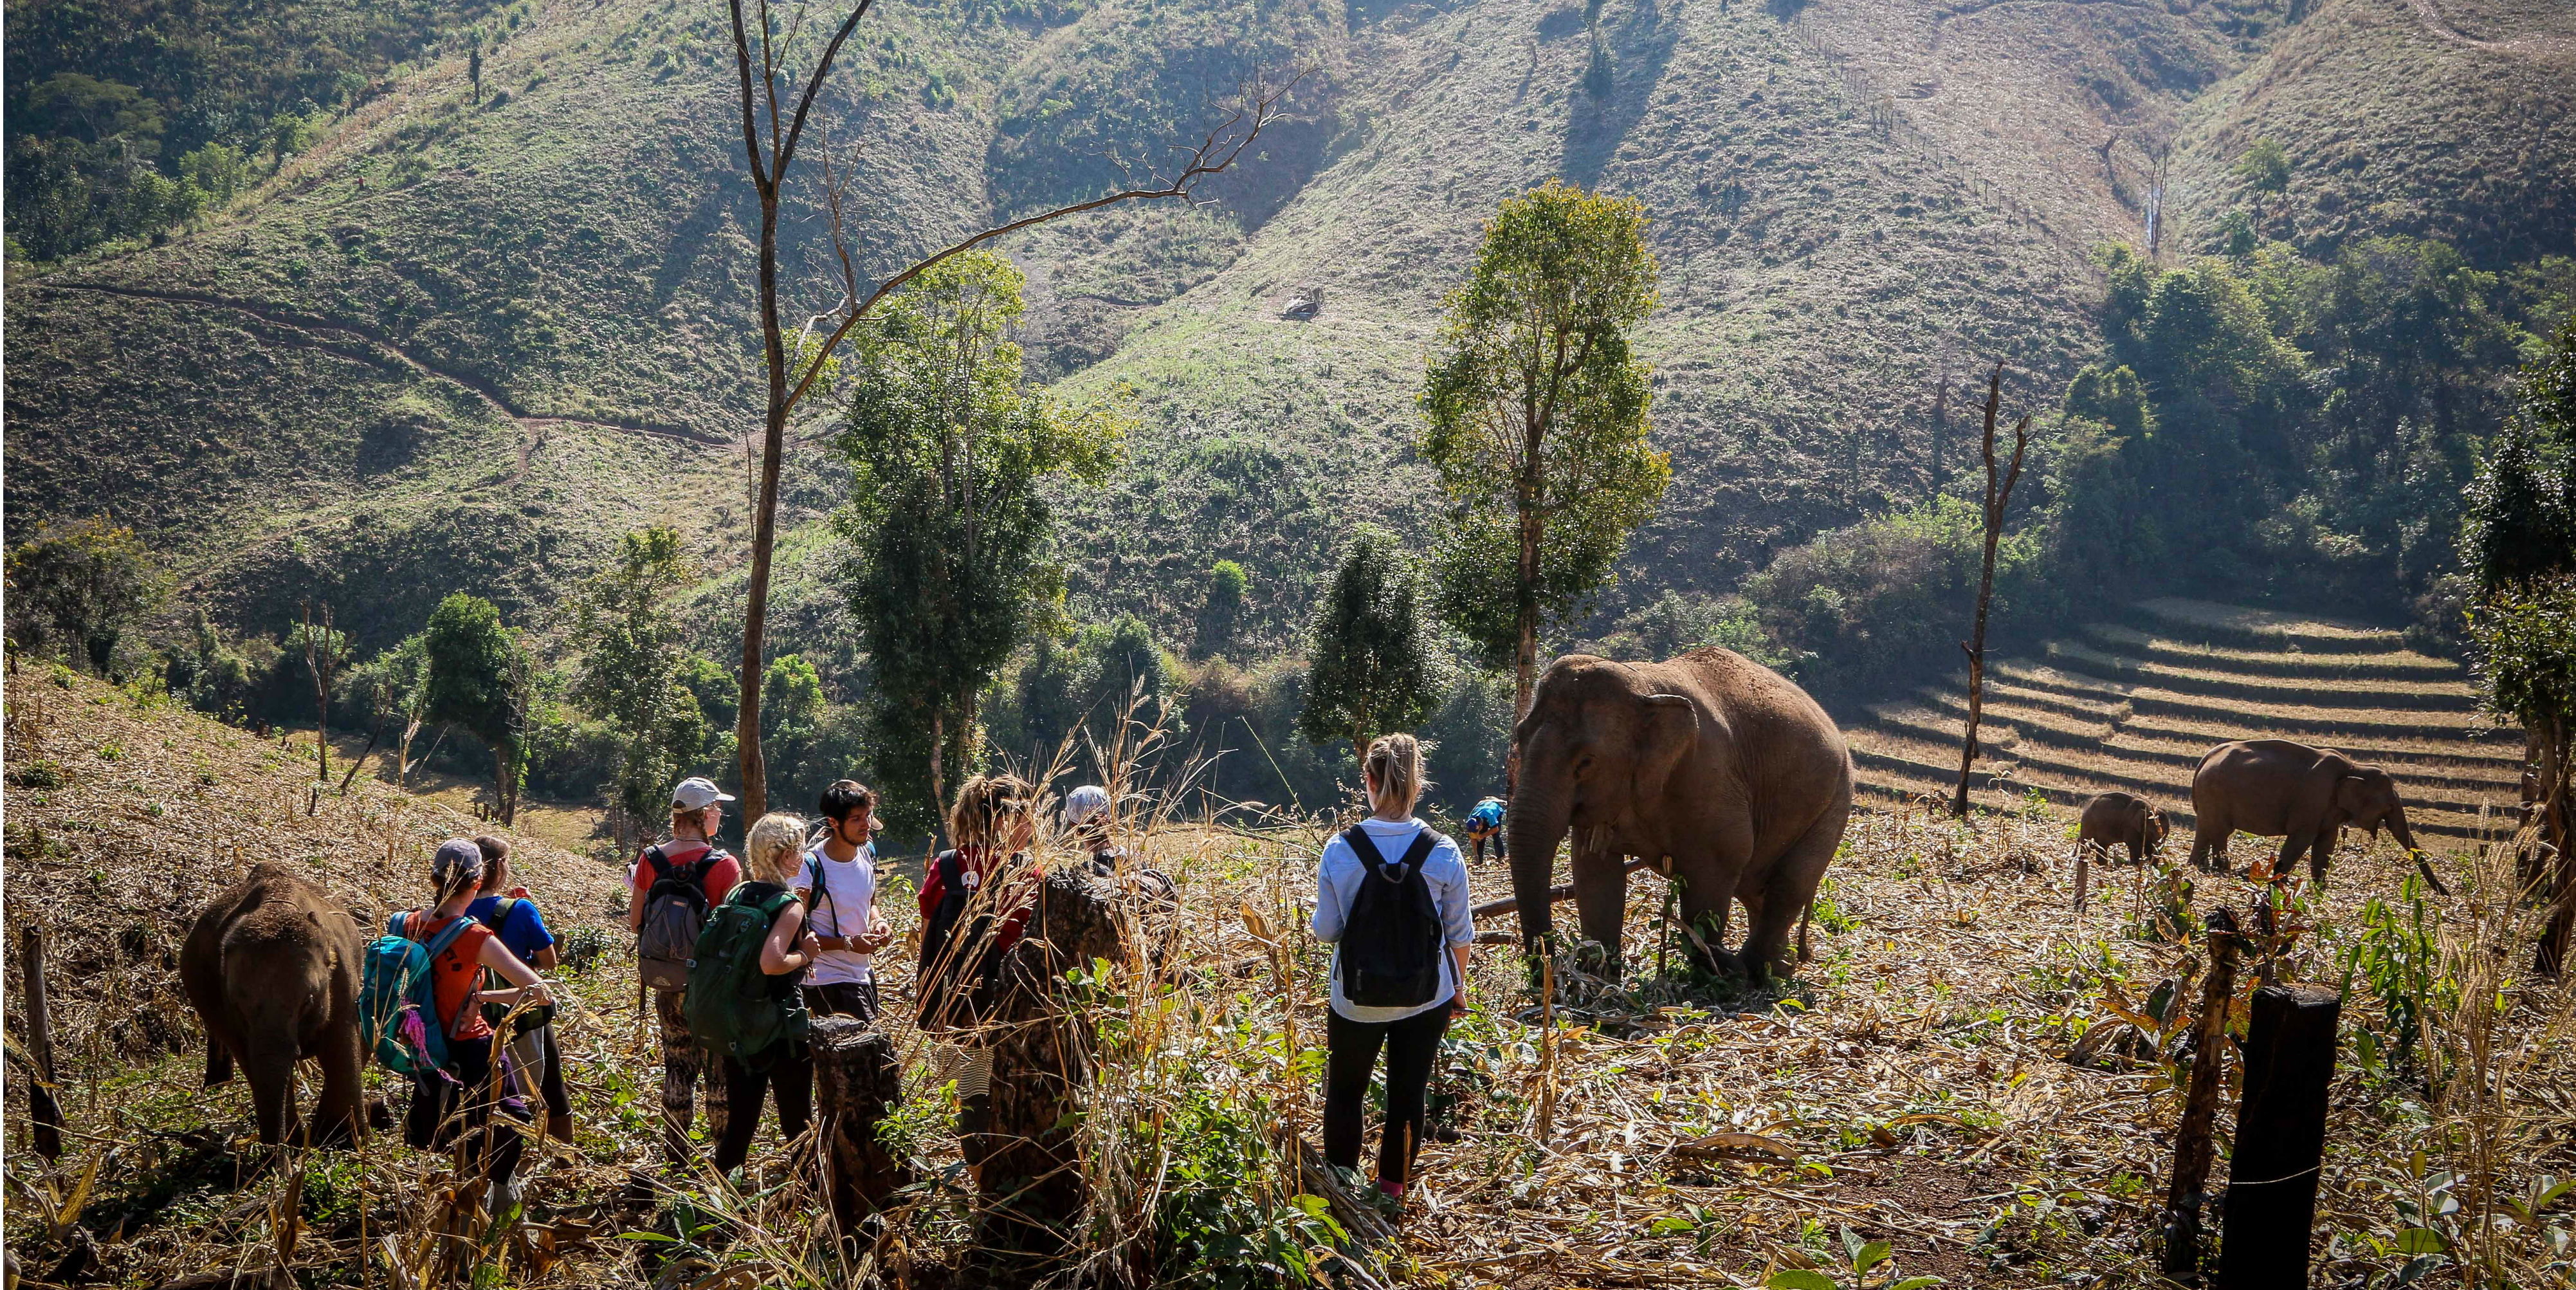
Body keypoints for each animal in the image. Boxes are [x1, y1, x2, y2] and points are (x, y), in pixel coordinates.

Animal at [179, 860, 363, 1143]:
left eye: (308, 1001)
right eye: (238, 1006)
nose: (276, 1151)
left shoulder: (342, 975)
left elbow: (341, 1044)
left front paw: (342, 1142)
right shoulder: (224, 1008)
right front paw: (296, 1143)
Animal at [1504, 649, 1854, 978]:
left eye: (1587, 761)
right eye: (1519, 735)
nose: (1547, 973)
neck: (1644, 684)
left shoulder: (1709, 778)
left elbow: (1716, 866)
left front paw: (1715, 972)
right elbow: (1595, 873)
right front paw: (1598, 979)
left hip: (1836, 801)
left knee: (1791, 882)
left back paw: (1752, 971)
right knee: (1756, 888)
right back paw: (1779, 967)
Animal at [2071, 788, 2174, 860]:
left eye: (2166, 835)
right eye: (2152, 832)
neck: (2148, 808)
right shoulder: (2130, 827)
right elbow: (2135, 846)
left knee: (2102, 847)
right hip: (2088, 823)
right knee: (2087, 843)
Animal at [2184, 741, 2442, 890]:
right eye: (2389, 806)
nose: (2444, 894)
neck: (2353, 766)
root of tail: (2206, 758)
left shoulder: (2329, 809)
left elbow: (2326, 842)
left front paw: (2320, 885)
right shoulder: (2312, 800)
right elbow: (2302, 839)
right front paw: (2279, 881)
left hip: (2209, 797)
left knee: (2205, 828)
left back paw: (2198, 865)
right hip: (2216, 793)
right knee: (2220, 832)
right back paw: (2222, 869)